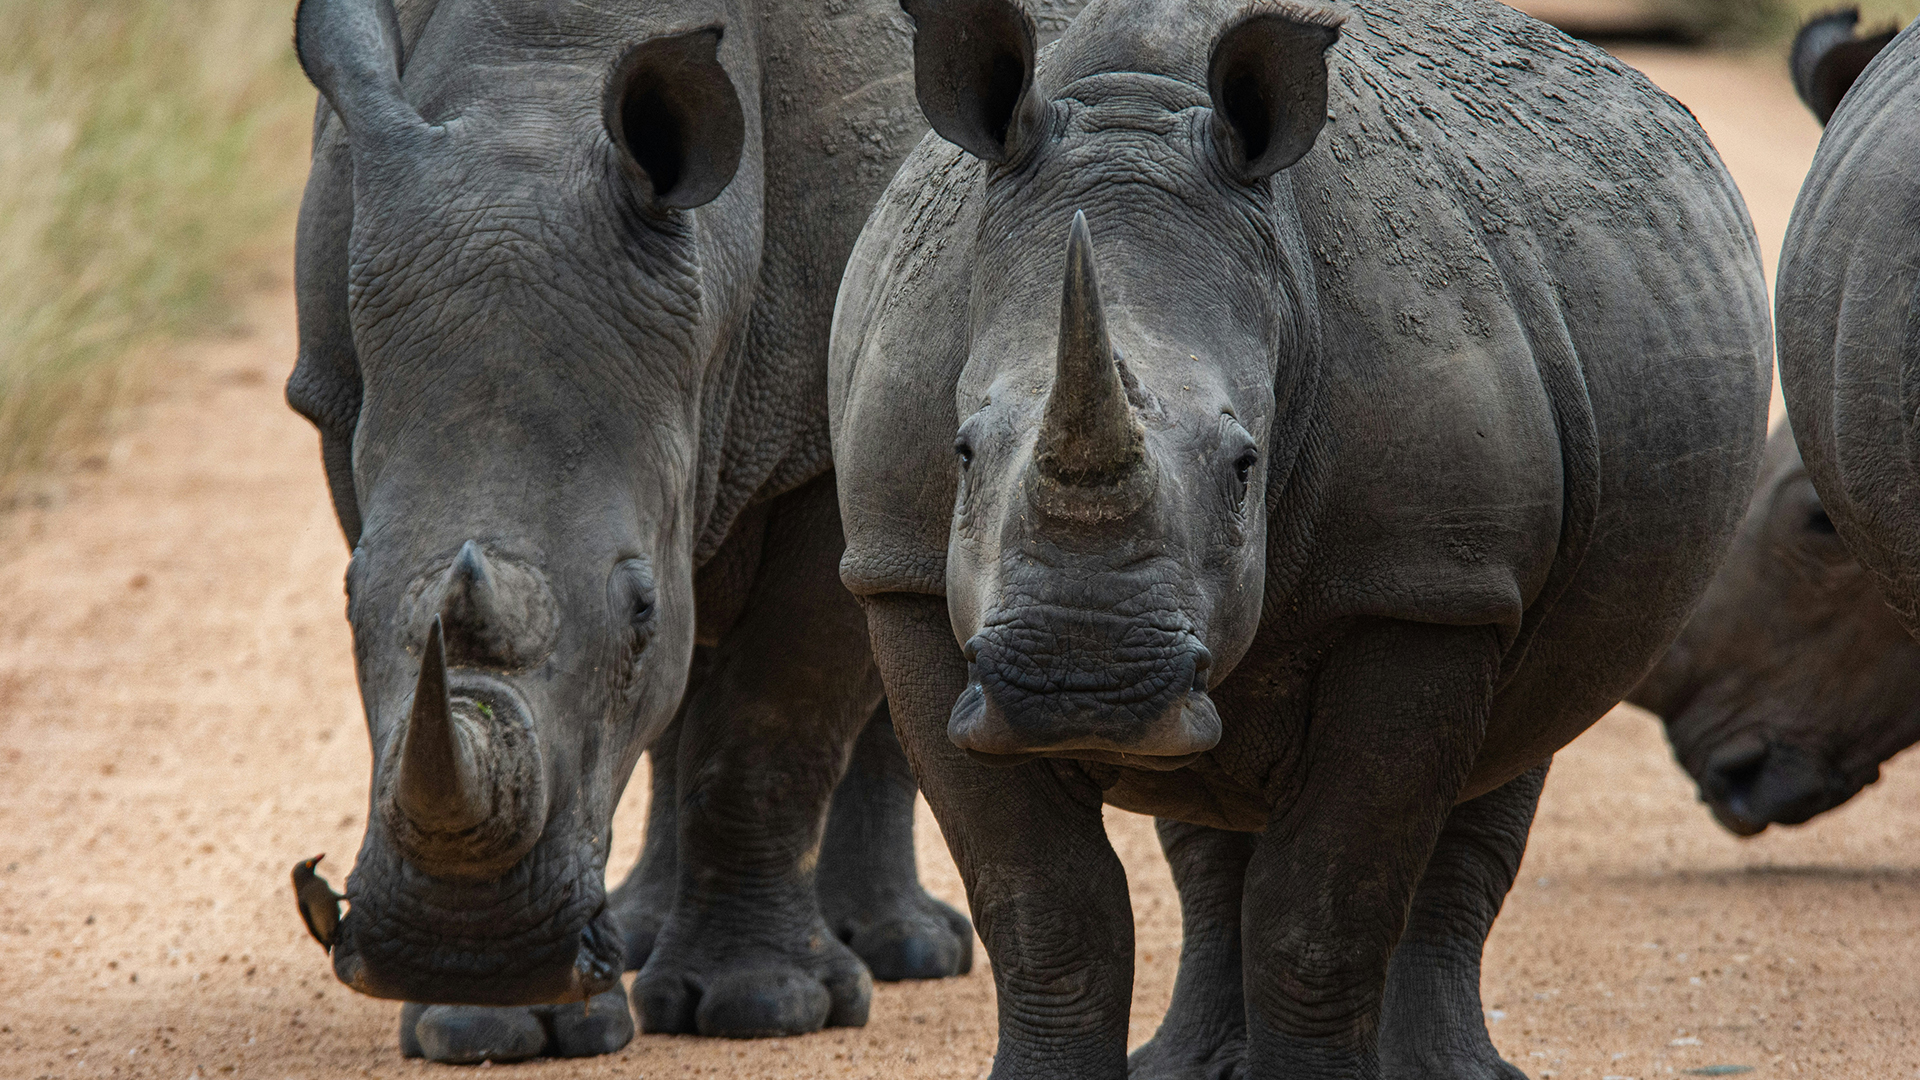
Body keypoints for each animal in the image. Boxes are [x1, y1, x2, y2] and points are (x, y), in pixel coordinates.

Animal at [287, 0, 974, 1061]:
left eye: (640, 611)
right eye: (347, 602)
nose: (463, 951)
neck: (536, 85)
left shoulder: (824, 440)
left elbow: (774, 718)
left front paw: (764, 1009)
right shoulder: (337, 395)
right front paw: (485, 1027)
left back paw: (903, 953)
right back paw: (645, 938)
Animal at [829, 0, 1769, 1074]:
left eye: (1246, 465)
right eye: (963, 450)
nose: (1080, 686)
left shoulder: (1424, 588)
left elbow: (1321, 916)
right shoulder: (900, 576)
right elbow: (1045, 910)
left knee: (1516, 733)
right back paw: (1191, 1065)